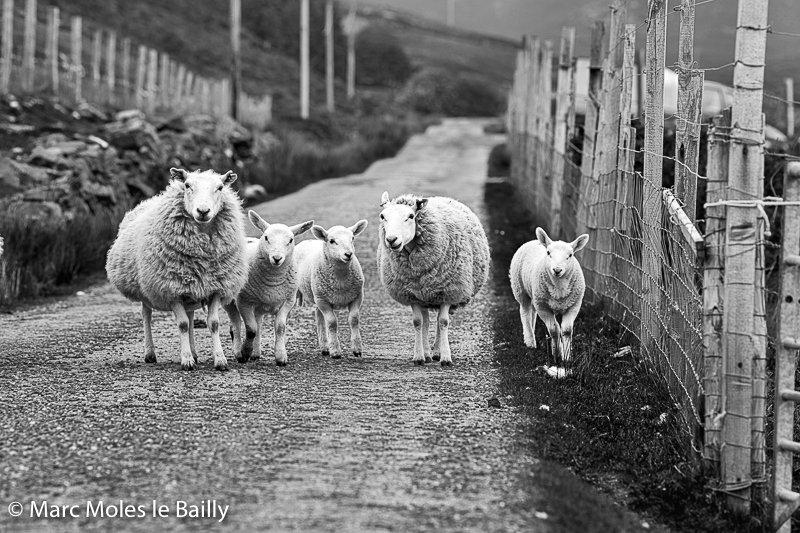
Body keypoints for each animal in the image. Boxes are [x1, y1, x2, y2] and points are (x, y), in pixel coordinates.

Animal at [104, 168, 247, 372]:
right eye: (187, 185)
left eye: (220, 187)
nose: (203, 211)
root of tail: (148, 200)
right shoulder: (171, 289)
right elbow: (182, 324)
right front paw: (186, 360)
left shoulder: (215, 288)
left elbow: (213, 323)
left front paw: (219, 360)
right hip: (148, 287)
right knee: (147, 315)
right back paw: (150, 353)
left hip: (191, 287)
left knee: (191, 314)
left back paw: (194, 353)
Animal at [225, 212, 316, 366]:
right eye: (266, 237)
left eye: (291, 240)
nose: (277, 258)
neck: (273, 282)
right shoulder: (243, 301)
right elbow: (251, 329)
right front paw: (245, 352)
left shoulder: (288, 301)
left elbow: (280, 327)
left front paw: (280, 356)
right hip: (230, 299)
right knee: (236, 324)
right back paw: (239, 352)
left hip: (258, 305)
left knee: (258, 324)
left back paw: (256, 353)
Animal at [294, 218, 368, 360]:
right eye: (332, 241)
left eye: (352, 238)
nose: (348, 254)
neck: (340, 280)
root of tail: (306, 241)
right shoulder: (323, 301)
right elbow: (332, 322)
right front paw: (335, 351)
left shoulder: (357, 296)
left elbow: (354, 319)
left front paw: (357, 349)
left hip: (319, 295)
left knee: (318, 317)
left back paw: (324, 347)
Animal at [376, 191, 494, 366]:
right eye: (383, 216)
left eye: (411, 216)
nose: (391, 239)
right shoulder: (411, 294)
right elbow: (418, 322)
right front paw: (419, 357)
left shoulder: (447, 291)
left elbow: (443, 322)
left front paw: (446, 357)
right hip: (423, 294)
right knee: (425, 321)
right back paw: (427, 353)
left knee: (438, 321)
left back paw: (437, 352)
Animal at [510, 224, 592, 362]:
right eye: (548, 253)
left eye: (570, 255)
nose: (557, 270)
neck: (559, 289)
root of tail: (535, 241)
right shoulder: (543, 308)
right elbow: (554, 330)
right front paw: (556, 353)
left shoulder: (574, 306)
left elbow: (566, 330)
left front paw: (566, 356)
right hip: (521, 290)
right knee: (525, 312)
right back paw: (530, 341)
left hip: (535, 296)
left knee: (532, 313)